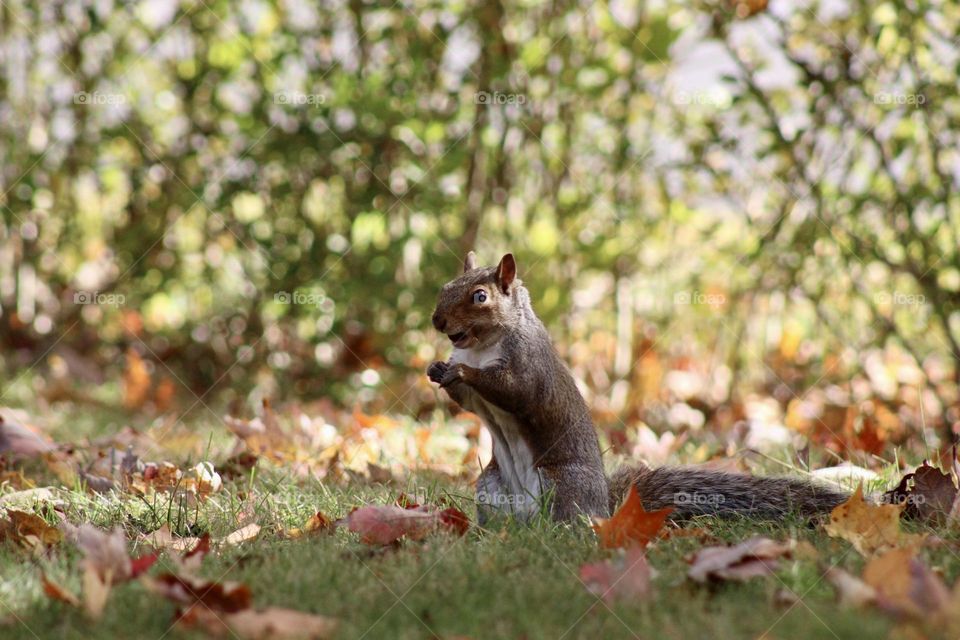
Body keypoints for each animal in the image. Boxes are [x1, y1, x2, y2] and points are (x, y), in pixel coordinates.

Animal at [427, 252, 848, 523]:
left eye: (480, 296)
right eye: (445, 286)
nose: (436, 321)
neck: (481, 346)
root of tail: (605, 507)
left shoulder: (528, 366)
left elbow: (514, 390)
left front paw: (462, 371)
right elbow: (468, 401)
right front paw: (437, 368)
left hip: (562, 484)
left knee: (569, 522)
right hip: (491, 487)